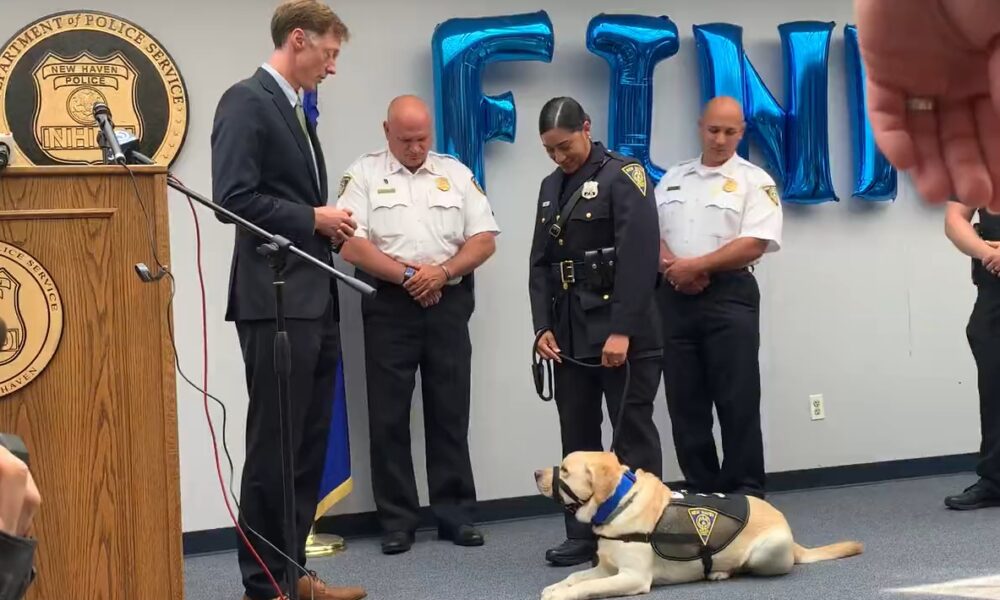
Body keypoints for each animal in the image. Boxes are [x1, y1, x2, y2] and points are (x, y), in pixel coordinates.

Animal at [536, 452, 864, 596]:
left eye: (565, 470)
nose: (536, 473)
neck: (617, 502)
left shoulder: (632, 577)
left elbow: (587, 587)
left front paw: (561, 594)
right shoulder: (606, 568)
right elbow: (576, 577)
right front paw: (555, 586)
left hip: (766, 551)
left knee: (745, 567)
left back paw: (719, 571)